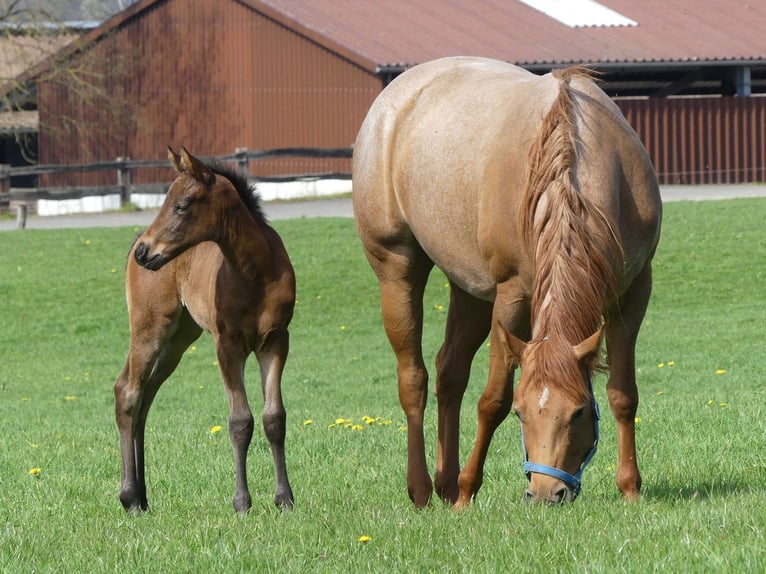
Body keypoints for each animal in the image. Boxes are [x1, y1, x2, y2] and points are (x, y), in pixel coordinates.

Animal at [114, 146, 296, 516]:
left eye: (182, 205)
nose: (144, 252)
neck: (255, 273)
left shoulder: (275, 340)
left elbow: (274, 418)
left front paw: (284, 499)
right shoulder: (227, 345)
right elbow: (240, 421)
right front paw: (242, 502)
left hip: (178, 339)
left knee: (146, 396)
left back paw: (143, 495)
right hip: (150, 327)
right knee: (128, 391)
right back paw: (130, 498)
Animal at [354, 57, 660, 508]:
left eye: (579, 411)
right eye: (521, 412)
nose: (546, 493)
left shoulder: (633, 292)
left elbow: (623, 393)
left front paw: (630, 489)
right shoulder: (513, 298)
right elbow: (491, 400)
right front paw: (467, 491)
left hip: (470, 291)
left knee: (450, 373)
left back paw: (445, 483)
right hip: (397, 269)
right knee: (413, 379)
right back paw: (424, 489)